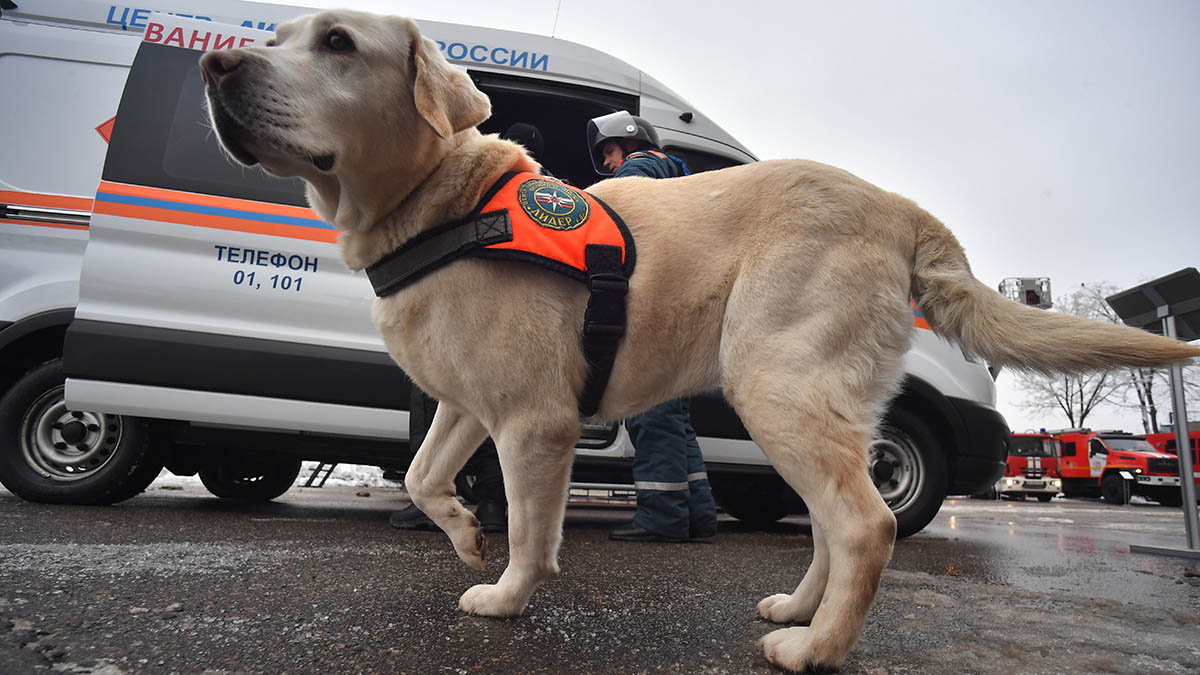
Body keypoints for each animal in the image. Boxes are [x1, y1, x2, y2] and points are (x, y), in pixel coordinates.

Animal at [201, 9, 1195, 667]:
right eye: (280, 37)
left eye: (337, 43)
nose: (218, 67)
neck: (444, 200)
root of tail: (899, 205)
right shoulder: (464, 403)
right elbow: (420, 474)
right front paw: (466, 538)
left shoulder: (534, 420)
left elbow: (533, 532)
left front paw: (508, 592)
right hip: (808, 402)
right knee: (830, 525)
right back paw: (797, 611)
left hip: (777, 386)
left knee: (866, 522)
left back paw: (815, 647)